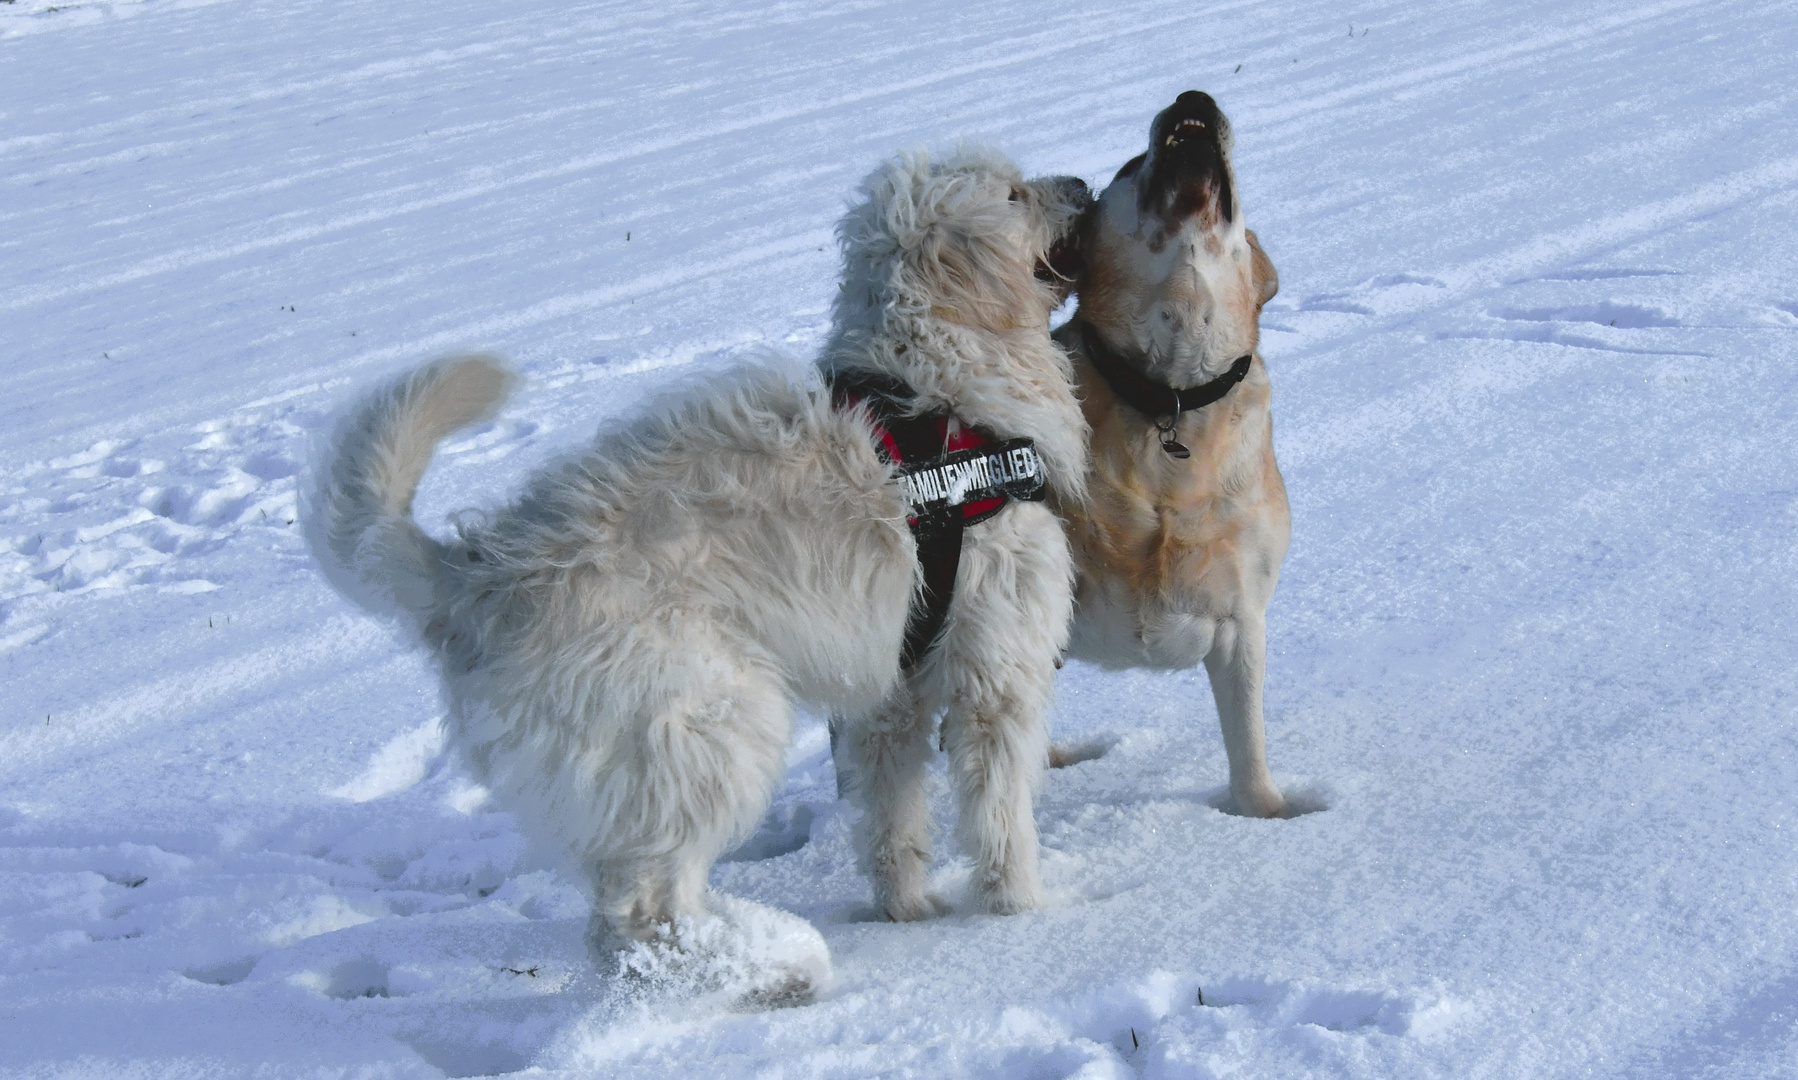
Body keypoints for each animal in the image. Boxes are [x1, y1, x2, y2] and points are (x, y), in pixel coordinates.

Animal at [309, 145, 1085, 999]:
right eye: (1012, 193)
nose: (1083, 183)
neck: (934, 391)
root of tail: (475, 576)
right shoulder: (996, 672)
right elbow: (1001, 813)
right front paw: (1021, 910)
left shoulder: (891, 693)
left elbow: (892, 819)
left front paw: (906, 911)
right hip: (704, 723)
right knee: (641, 916)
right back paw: (770, 967)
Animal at [1050, 92, 1294, 815]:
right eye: (1131, 165)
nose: (1194, 99)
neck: (1169, 396)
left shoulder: (1241, 616)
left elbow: (1248, 744)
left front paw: (1266, 817)